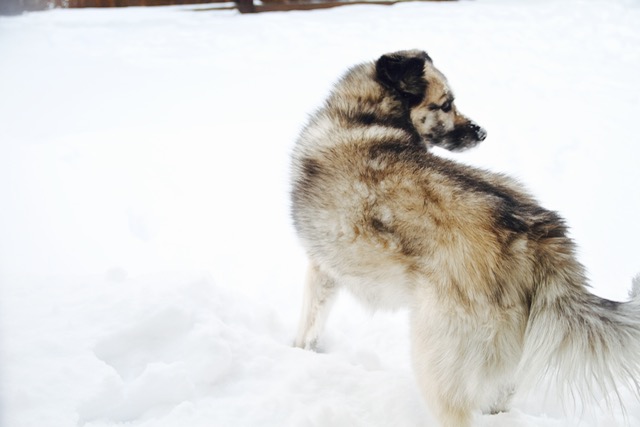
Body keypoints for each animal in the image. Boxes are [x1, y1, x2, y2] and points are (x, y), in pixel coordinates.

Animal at [292, 48, 640, 426]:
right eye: (445, 105)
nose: (482, 132)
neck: (362, 117)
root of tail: (536, 234)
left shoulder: (321, 270)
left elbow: (307, 326)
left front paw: (298, 353)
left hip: (435, 357)